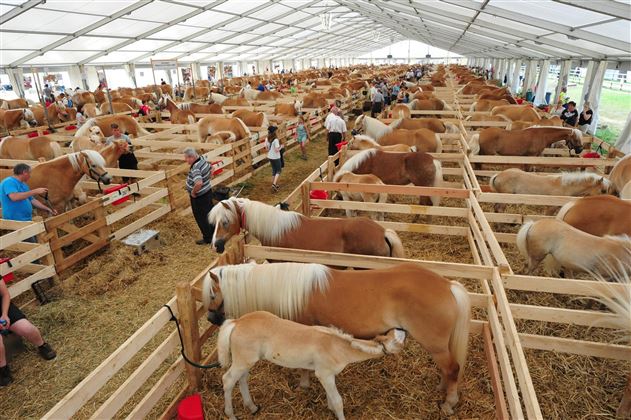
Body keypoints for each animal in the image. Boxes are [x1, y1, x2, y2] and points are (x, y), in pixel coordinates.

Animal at [217, 312, 408, 420]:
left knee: (242, 379)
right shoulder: (324, 373)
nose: (403, 329)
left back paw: (252, 407)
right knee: (227, 380)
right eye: (399, 340)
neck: (337, 346)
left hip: (246, 360)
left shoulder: (328, 375)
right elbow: (338, 401)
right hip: (242, 360)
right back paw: (231, 415)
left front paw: (330, 409)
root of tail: (237, 322)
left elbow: (331, 398)